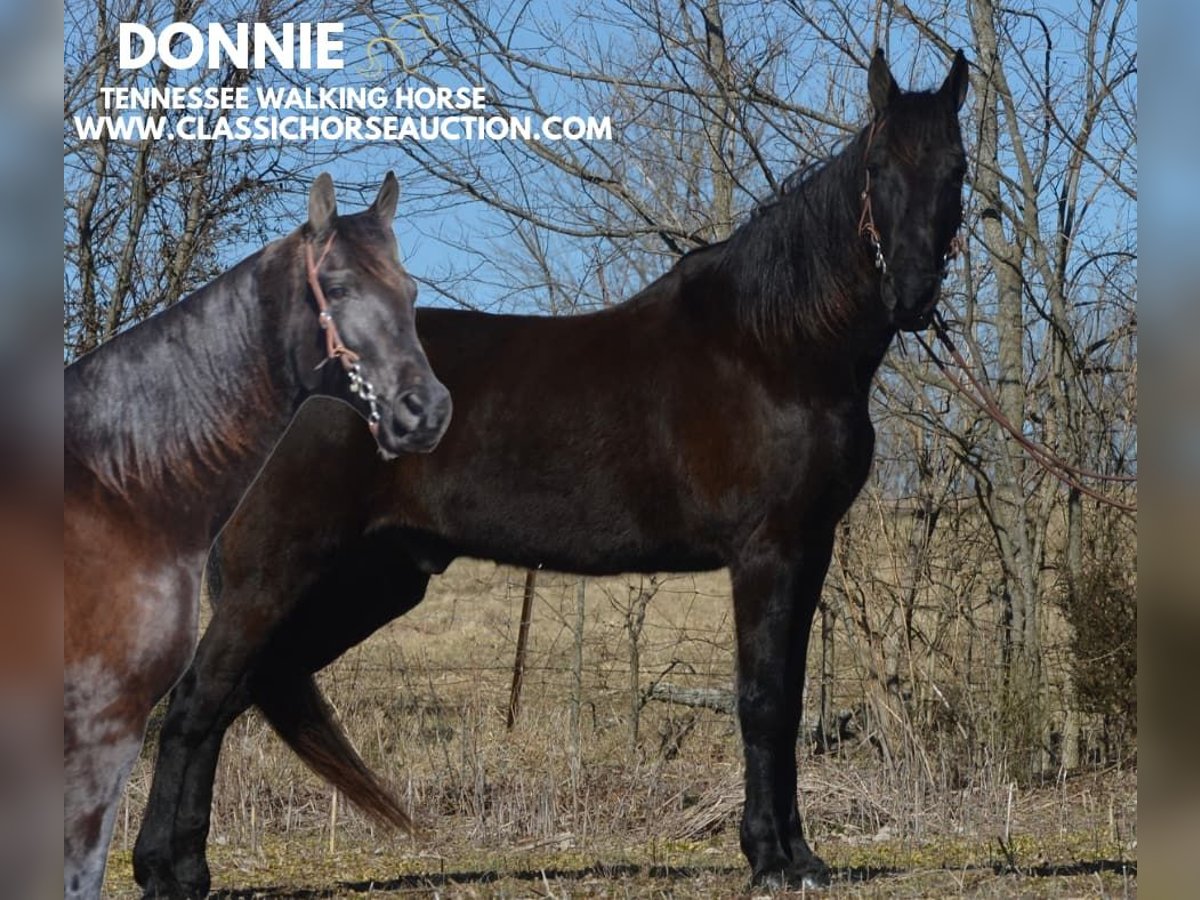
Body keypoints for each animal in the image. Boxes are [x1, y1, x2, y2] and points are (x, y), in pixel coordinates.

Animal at [136, 49, 969, 897]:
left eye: (956, 168)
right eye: (877, 165)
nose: (911, 293)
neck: (771, 349)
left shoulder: (810, 548)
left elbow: (790, 696)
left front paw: (798, 856)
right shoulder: (769, 552)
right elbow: (765, 700)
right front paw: (771, 860)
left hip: (365, 582)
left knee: (231, 696)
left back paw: (186, 868)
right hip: (276, 572)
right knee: (197, 700)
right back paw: (164, 872)